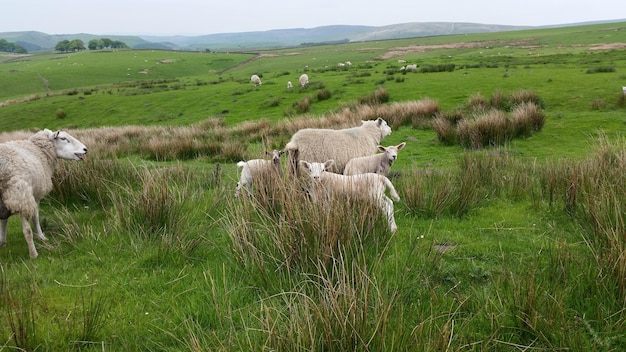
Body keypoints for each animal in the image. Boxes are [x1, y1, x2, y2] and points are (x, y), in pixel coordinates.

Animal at [0, 130, 88, 258]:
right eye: (63, 138)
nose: (85, 149)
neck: (39, 150)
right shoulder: (35, 196)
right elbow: (36, 217)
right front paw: (41, 236)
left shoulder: (5, 201)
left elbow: (4, 221)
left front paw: (2, 242)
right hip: (22, 195)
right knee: (27, 230)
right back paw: (33, 254)